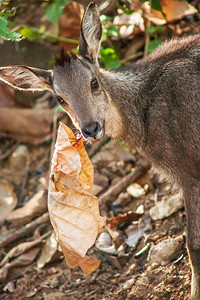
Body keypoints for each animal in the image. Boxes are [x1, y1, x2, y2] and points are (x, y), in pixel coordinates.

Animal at [0, 1, 200, 298]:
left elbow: (193, 245)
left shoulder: (189, 171)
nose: (90, 128)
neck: (144, 117)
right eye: (60, 98)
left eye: (93, 82)